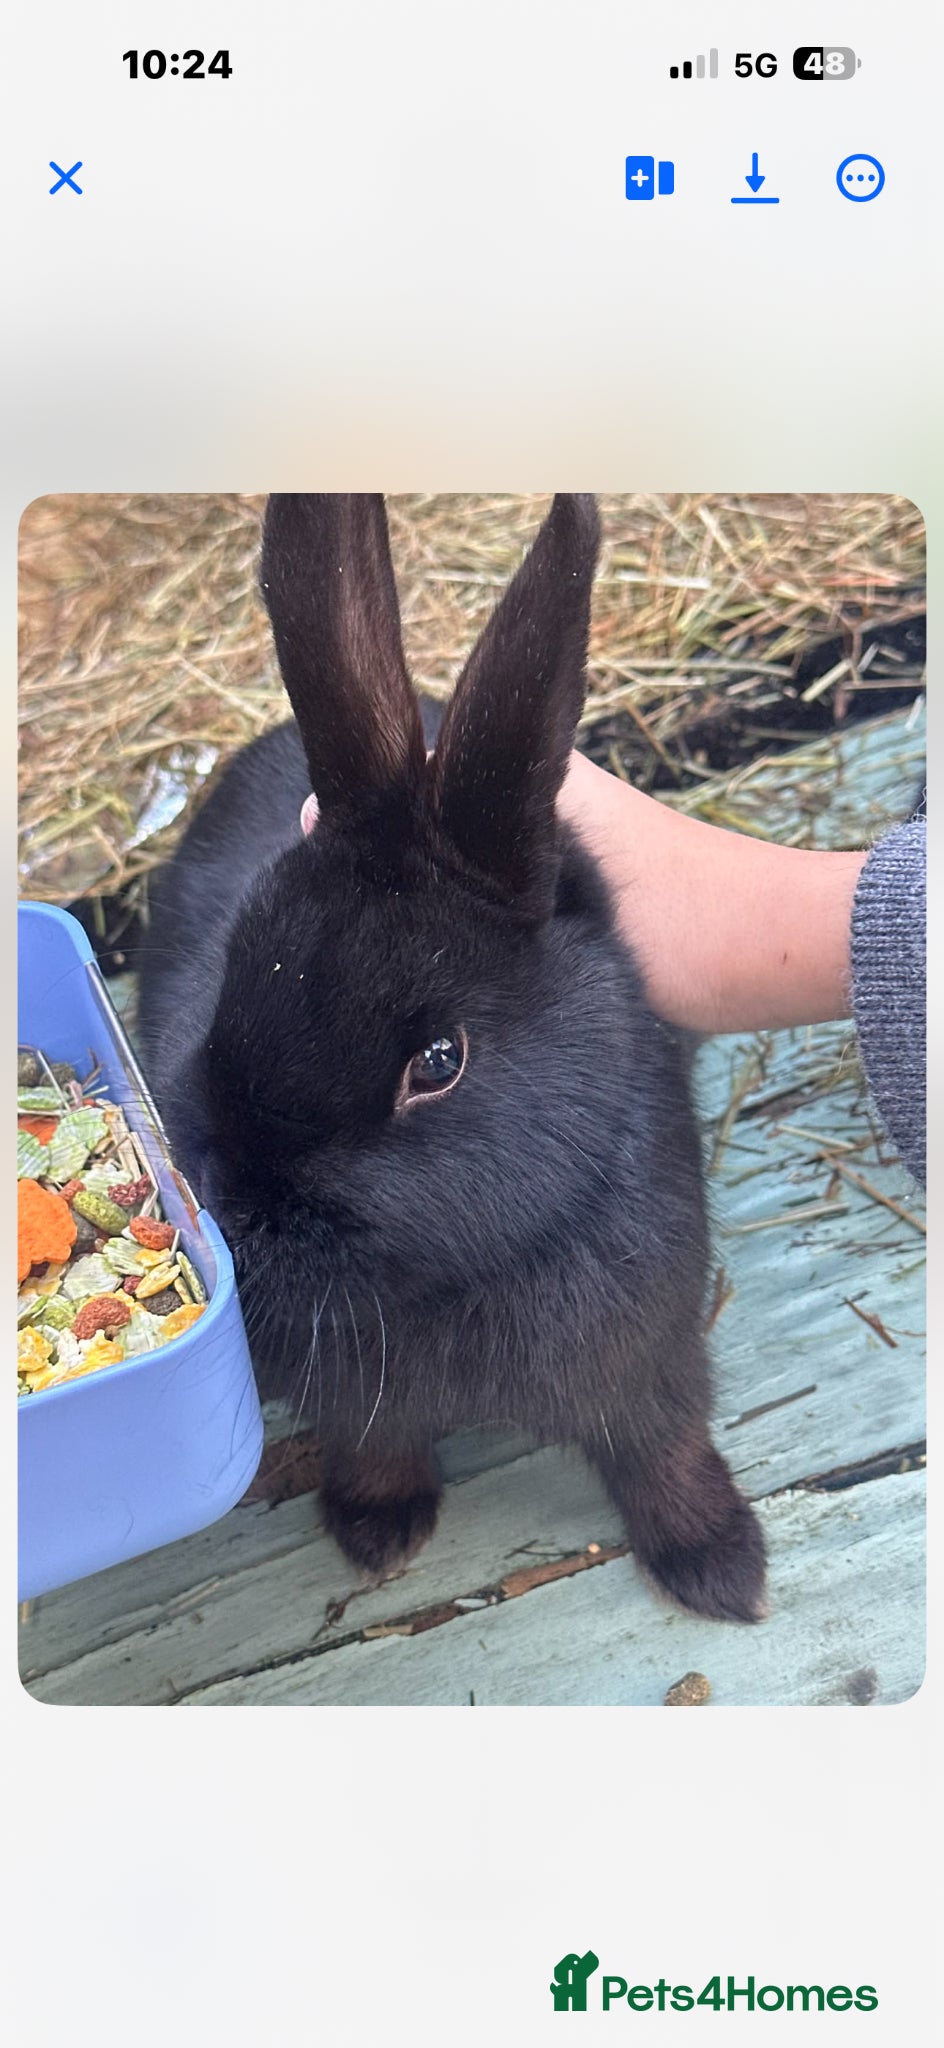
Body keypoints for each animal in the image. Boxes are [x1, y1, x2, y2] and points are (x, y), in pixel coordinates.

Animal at [137, 494, 766, 1624]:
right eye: (229, 985)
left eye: (437, 1059)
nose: (245, 1210)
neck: (446, 1284)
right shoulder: (354, 1401)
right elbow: (374, 1441)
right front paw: (378, 1532)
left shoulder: (650, 1362)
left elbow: (664, 1451)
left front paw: (723, 1568)